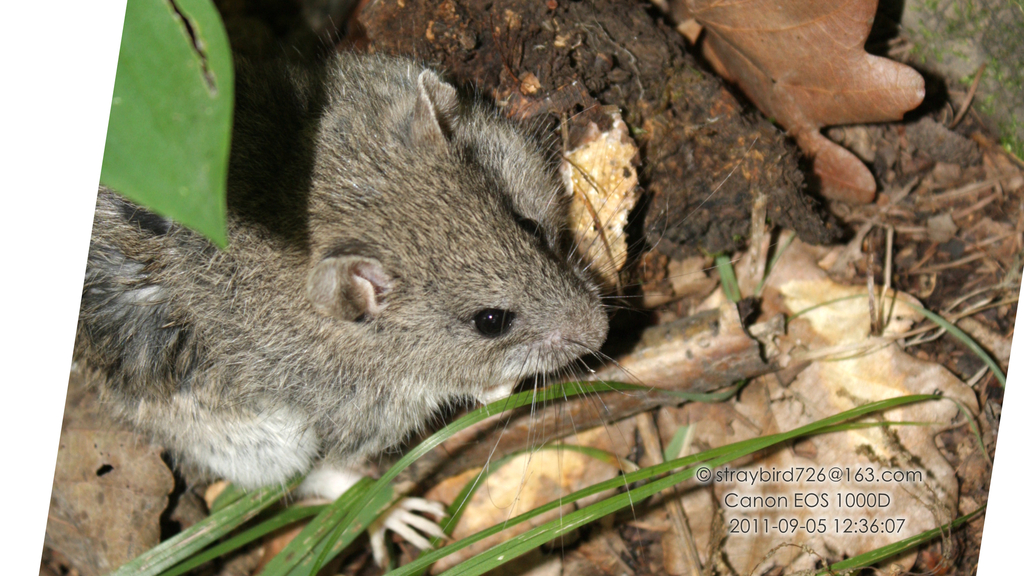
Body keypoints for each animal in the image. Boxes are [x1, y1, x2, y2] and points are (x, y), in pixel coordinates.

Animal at [76, 52, 609, 499]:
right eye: (491, 321)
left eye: (529, 226)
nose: (602, 332)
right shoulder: (363, 412)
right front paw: (500, 385)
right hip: (253, 442)